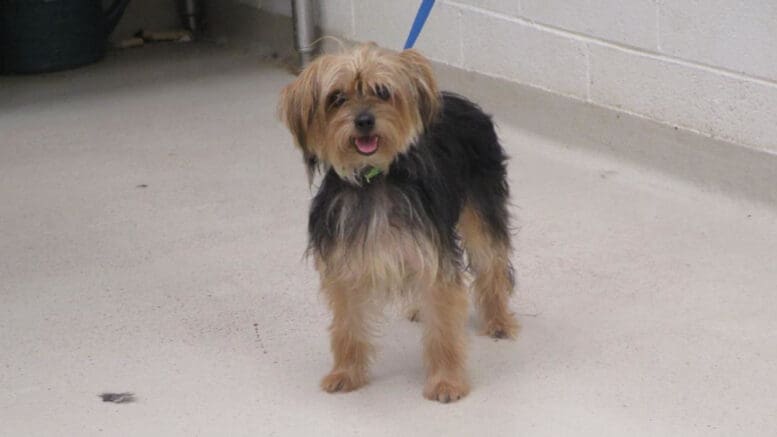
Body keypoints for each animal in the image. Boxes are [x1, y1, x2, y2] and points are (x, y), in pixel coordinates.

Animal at [276, 42, 520, 400]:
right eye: (337, 97)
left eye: (382, 92)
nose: (364, 121)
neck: (374, 179)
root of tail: (459, 101)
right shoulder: (343, 265)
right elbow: (348, 325)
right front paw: (346, 373)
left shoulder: (434, 257)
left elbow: (443, 326)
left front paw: (446, 381)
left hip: (482, 210)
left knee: (492, 265)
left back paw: (499, 321)